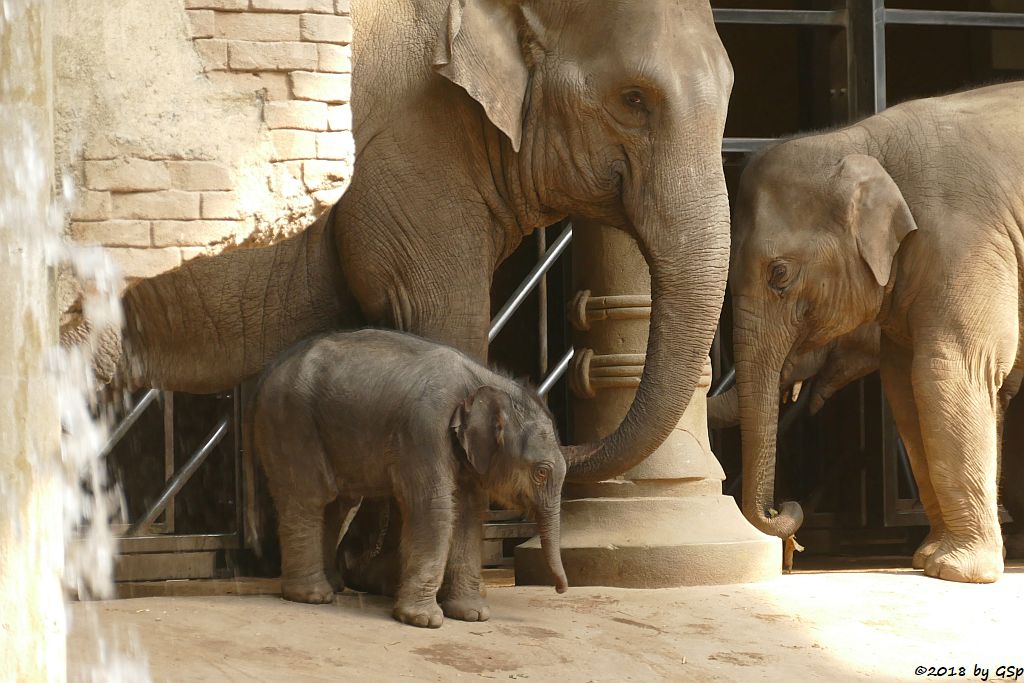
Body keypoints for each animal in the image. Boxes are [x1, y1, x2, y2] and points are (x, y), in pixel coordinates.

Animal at [116, 0, 733, 589]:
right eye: (634, 99)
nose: (564, 448)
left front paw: (361, 571)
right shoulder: (415, 150)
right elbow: (446, 323)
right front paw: (386, 575)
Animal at [248, 327, 569, 626]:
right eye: (541, 472)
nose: (560, 589)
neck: (481, 381)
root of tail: (267, 373)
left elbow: (467, 513)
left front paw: (472, 614)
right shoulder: (424, 428)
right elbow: (435, 507)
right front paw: (424, 620)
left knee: (338, 503)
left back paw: (334, 585)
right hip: (290, 420)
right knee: (308, 496)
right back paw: (312, 595)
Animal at [729, 80, 1024, 581]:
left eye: (779, 275)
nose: (785, 509)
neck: (862, 140)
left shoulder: (966, 239)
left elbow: (950, 370)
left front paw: (957, 572)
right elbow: (905, 386)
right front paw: (927, 558)